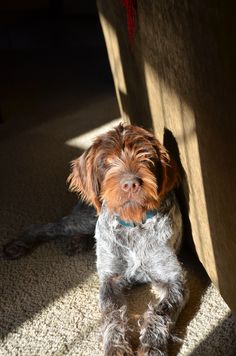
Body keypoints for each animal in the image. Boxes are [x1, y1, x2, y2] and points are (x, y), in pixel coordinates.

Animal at [1, 124, 189, 354]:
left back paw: (76, 242)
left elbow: (162, 312)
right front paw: (116, 347)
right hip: (84, 219)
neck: (133, 225)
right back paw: (19, 244)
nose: (130, 184)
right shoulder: (110, 280)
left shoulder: (174, 280)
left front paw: (152, 346)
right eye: (106, 161)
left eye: (146, 156)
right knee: (47, 227)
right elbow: (113, 316)